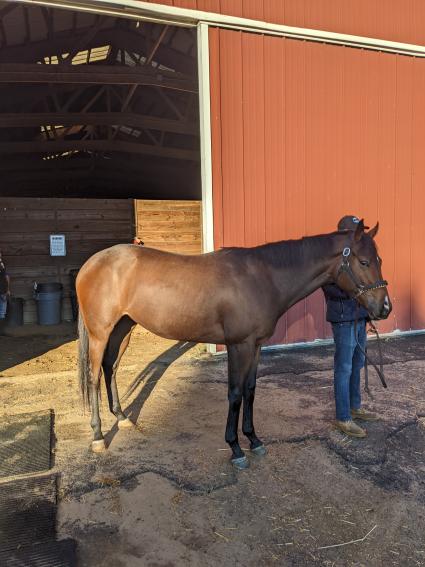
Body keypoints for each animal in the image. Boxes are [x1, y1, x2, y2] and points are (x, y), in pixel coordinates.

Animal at [76, 220, 390, 468]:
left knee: (110, 368)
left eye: (379, 260)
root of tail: (91, 263)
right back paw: (98, 437)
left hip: (123, 328)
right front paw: (236, 447)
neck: (263, 277)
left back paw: (122, 417)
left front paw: (254, 439)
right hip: (100, 333)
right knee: (93, 378)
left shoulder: (256, 345)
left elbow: (250, 390)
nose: (385, 308)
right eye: (364, 262)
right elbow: (236, 394)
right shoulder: (239, 345)